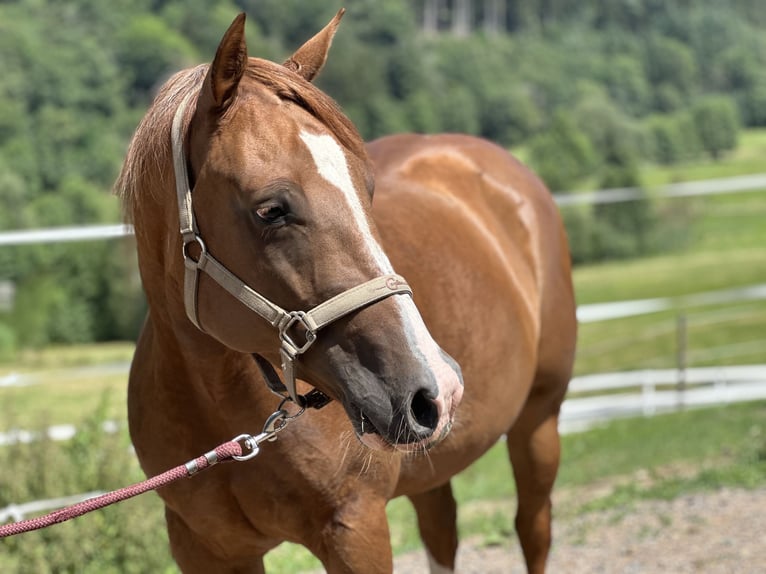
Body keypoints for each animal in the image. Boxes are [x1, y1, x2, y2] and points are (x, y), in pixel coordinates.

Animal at [116, 10, 576, 574]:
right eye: (271, 209)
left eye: (367, 189)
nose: (436, 386)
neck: (218, 407)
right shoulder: (204, 550)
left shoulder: (355, 529)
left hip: (539, 420)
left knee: (533, 527)